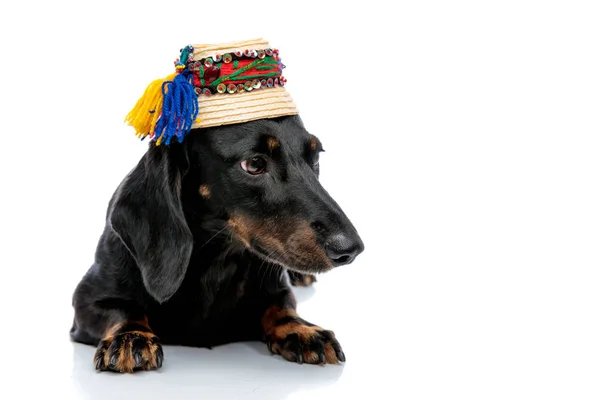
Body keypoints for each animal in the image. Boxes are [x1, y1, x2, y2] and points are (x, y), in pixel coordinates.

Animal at [69, 115, 360, 372]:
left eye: (316, 156)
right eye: (254, 164)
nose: (351, 249)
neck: (216, 257)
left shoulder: (276, 289)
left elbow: (281, 306)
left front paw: (301, 329)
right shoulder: (86, 299)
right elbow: (122, 310)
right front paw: (130, 336)